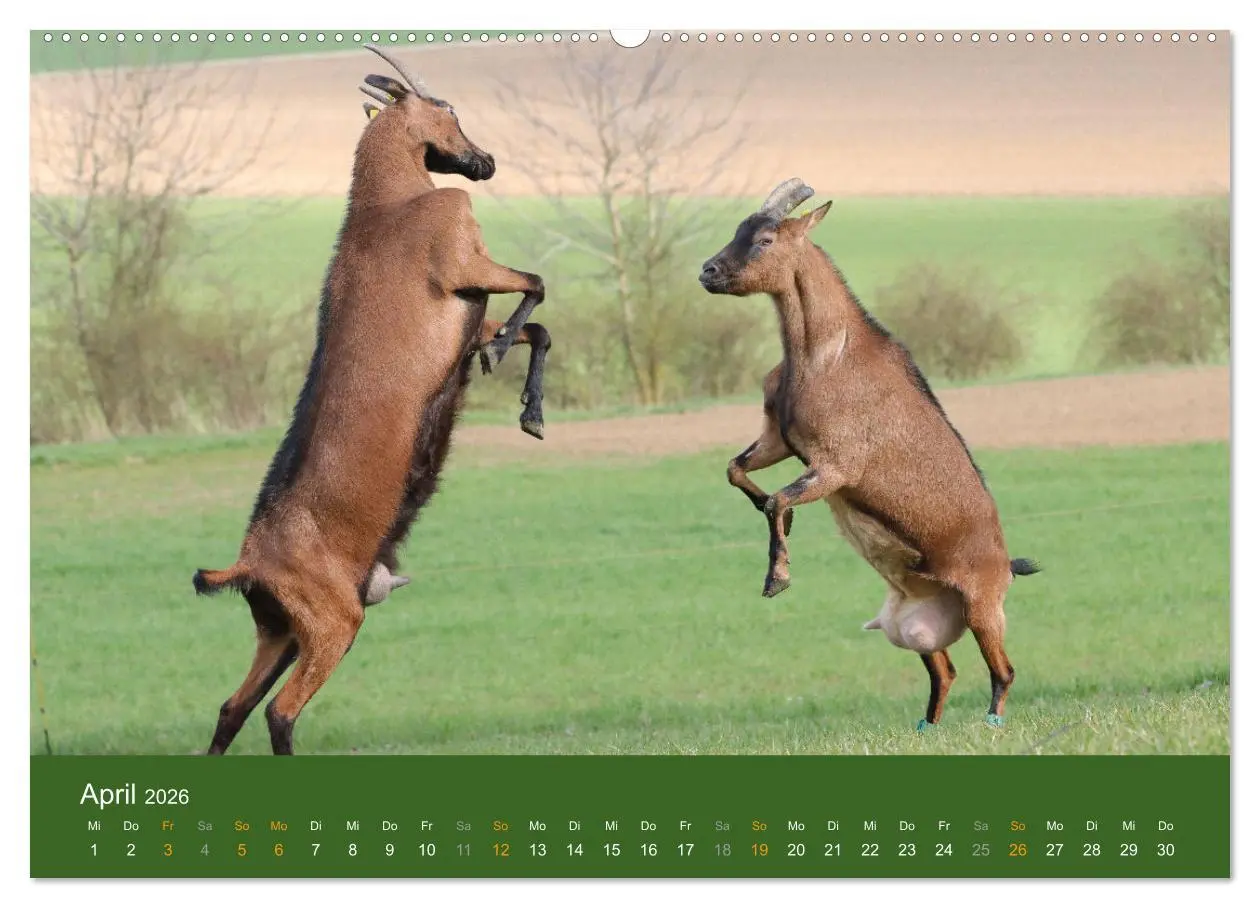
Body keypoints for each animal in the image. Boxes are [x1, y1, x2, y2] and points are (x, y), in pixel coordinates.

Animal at [191, 44, 550, 755]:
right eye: (448, 108)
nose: (485, 162)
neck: (389, 205)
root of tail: (247, 564)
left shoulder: (469, 310)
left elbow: (539, 327)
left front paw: (531, 411)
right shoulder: (465, 263)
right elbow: (537, 285)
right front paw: (504, 361)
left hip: (279, 631)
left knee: (231, 707)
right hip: (332, 623)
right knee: (280, 712)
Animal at [699, 178, 1040, 729]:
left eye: (767, 239)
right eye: (739, 230)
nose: (707, 272)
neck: (827, 354)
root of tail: (1007, 563)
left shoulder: (836, 465)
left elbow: (778, 499)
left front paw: (777, 579)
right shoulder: (779, 439)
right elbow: (738, 472)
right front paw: (778, 527)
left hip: (983, 606)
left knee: (1003, 671)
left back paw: (991, 722)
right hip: (919, 623)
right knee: (945, 672)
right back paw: (926, 727)